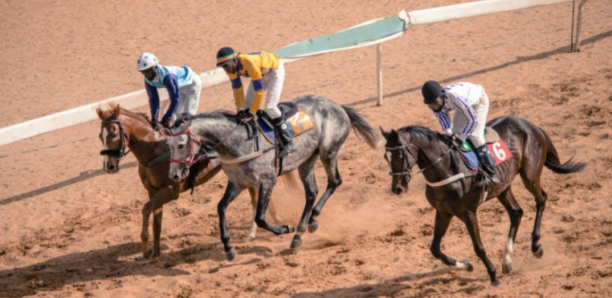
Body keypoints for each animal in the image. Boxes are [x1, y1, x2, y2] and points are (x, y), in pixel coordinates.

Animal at [96, 104, 278, 258]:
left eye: (113, 134)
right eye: (100, 136)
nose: (109, 166)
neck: (154, 151)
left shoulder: (171, 190)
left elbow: (146, 209)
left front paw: (146, 249)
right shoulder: (153, 191)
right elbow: (157, 221)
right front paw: (155, 253)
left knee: (254, 198)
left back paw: (253, 232)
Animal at [167, 94, 378, 260]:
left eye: (181, 144)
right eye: (168, 144)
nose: (174, 175)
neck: (237, 142)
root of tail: (339, 106)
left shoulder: (268, 180)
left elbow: (260, 217)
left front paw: (284, 228)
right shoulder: (238, 182)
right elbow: (221, 208)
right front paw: (228, 248)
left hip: (329, 152)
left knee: (334, 182)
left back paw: (310, 220)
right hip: (306, 161)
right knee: (311, 192)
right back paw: (301, 232)